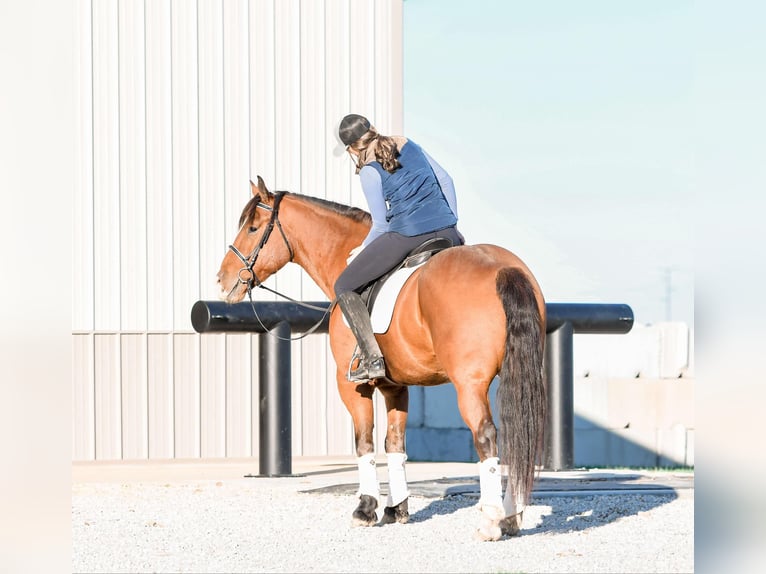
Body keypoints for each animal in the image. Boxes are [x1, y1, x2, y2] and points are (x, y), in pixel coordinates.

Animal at [219, 178, 548, 544]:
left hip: (469, 384)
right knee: (517, 433)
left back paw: (491, 521)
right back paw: (512, 516)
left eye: (253, 228)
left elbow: (364, 441)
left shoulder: (352, 386)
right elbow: (394, 444)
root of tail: (503, 267)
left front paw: (365, 508)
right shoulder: (396, 387)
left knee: (486, 435)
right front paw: (396, 509)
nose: (223, 279)